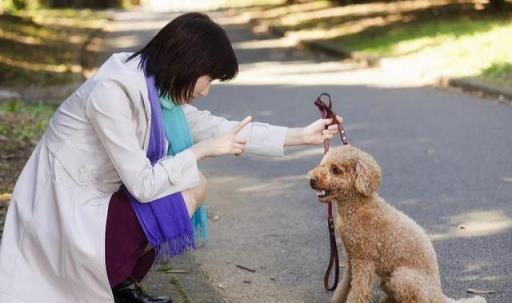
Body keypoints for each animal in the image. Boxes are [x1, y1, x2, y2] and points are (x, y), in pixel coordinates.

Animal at [306, 146, 486, 302]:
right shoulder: (351, 259)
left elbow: (358, 293)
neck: (357, 207)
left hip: (402, 277)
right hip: (389, 280)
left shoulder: (364, 261)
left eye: (336, 170)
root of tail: (438, 292)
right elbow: (344, 288)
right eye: (322, 165)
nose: (312, 180)